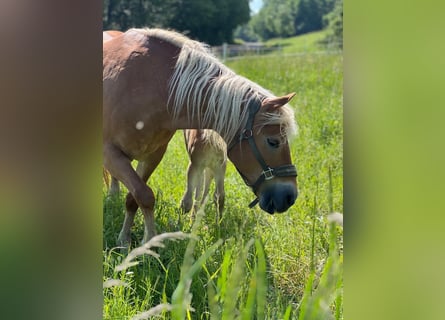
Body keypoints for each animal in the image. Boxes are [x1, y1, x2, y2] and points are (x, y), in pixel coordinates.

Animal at [103, 28, 298, 246]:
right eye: (273, 141)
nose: (290, 196)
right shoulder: (110, 154)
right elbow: (144, 195)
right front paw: (145, 241)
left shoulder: (152, 156)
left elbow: (134, 198)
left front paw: (127, 239)